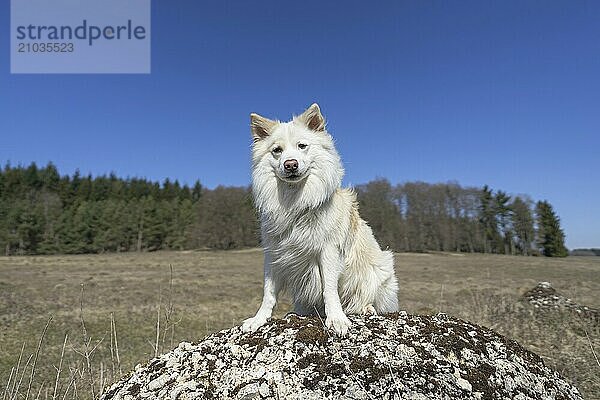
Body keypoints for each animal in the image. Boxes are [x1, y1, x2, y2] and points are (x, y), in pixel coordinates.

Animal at [239, 102, 398, 334]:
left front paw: (336, 319)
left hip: (381, 272)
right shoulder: (273, 254)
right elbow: (268, 292)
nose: (290, 164)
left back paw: (366, 309)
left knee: (365, 299)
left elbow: (329, 289)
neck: (295, 199)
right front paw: (259, 319)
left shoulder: (329, 251)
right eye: (277, 151)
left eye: (302, 146)